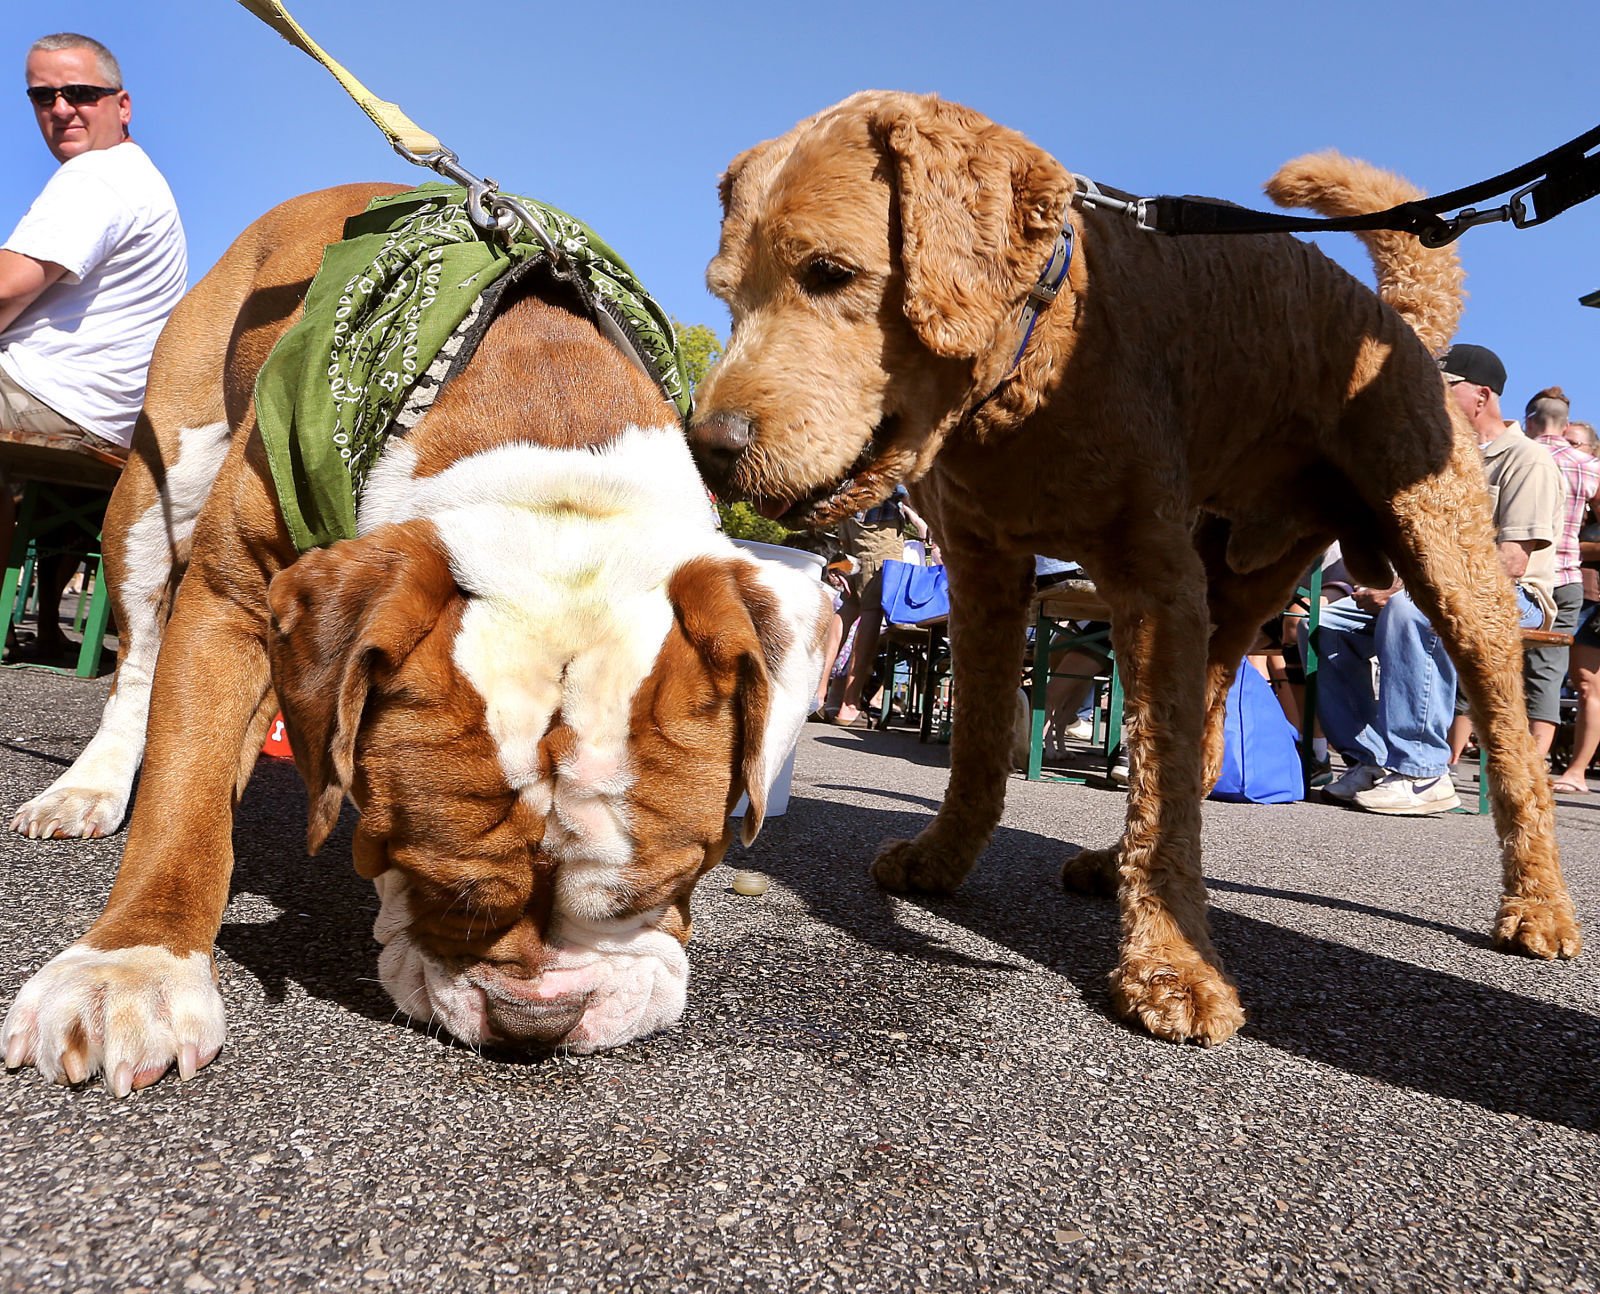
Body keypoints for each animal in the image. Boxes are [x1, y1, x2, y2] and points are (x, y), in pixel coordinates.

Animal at [688, 90, 1574, 1042]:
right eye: (727, 294)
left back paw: (1539, 907)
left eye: (830, 271)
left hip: (1452, 572)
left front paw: (1171, 966)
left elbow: (1153, 776)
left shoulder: (1149, 581)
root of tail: (1398, 325)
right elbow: (983, 746)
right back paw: (1115, 861)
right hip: (1230, 586)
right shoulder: (988, 575)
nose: (711, 448)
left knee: (1510, 753)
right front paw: (944, 859)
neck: (1041, 350)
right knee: (1198, 738)